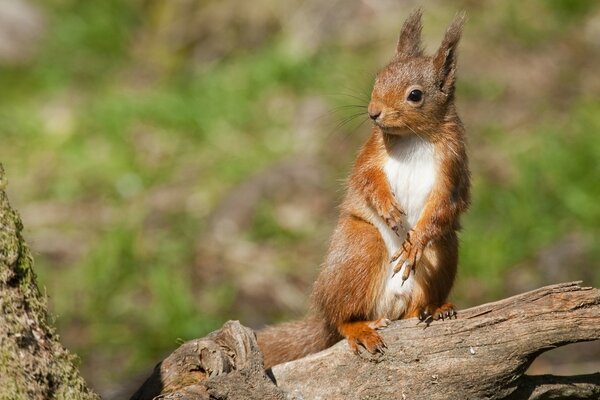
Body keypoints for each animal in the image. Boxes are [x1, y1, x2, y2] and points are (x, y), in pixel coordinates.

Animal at [255, 9, 472, 370]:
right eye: (378, 78)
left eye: (415, 95)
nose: (373, 113)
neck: (415, 137)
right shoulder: (371, 153)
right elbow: (366, 179)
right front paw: (388, 208)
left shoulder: (452, 167)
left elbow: (447, 203)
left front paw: (414, 244)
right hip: (361, 248)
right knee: (342, 320)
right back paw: (359, 328)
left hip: (443, 251)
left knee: (416, 300)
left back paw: (433, 308)